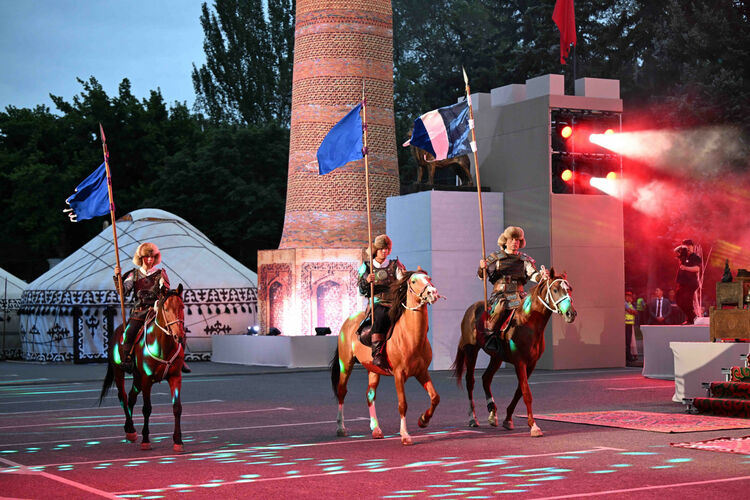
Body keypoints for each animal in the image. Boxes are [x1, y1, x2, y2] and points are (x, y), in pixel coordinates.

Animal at [99, 284, 187, 451]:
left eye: (182, 307)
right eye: (166, 308)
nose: (179, 336)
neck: (163, 344)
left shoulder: (175, 377)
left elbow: (177, 408)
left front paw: (178, 441)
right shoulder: (147, 379)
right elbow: (147, 409)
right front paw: (146, 440)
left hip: (137, 377)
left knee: (131, 397)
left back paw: (128, 428)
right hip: (119, 372)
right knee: (123, 396)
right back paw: (131, 431)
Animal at [330, 270, 441, 445]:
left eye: (429, 278)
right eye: (414, 281)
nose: (432, 292)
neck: (410, 336)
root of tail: (349, 321)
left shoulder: (422, 372)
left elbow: (435, 397)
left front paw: (423, 420)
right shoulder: (399, 374)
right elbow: (402, 404)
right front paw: (405, 435)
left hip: (373, 369)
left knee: (370, 395)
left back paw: (376, 429)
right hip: (345, 364)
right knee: (342, 392)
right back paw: (341, 428)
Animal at [452, 270, 576, 437]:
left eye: (569, 289)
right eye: (555, 290)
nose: (571, 313)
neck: (528, 322)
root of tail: (471, 310)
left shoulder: (531, 364)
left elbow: (519, 391)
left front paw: (508, 419)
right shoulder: (520, 362)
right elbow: (526, 392)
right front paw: (534, 426)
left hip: (496, 357)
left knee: (486, 378)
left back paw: (492, 413)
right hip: (471, 351)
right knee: (470, 381)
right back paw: (473, 418)